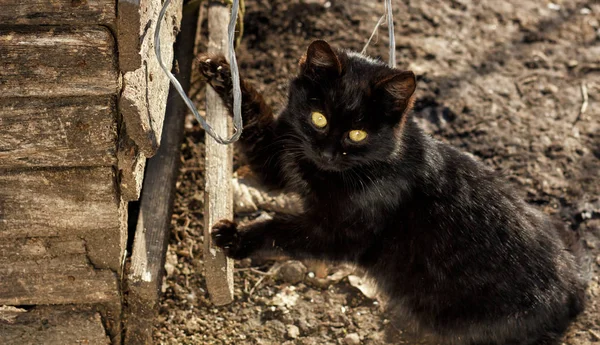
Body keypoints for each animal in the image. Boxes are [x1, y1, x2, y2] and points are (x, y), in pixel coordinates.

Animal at [198, 39, 584, 342]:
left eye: (357, 135)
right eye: (319, 118)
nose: (326, 153)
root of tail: (575, 290)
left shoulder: (339, 233)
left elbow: (281, 228)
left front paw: (238, 237)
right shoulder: (281, 156)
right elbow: (253, 120)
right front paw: (221, 73)